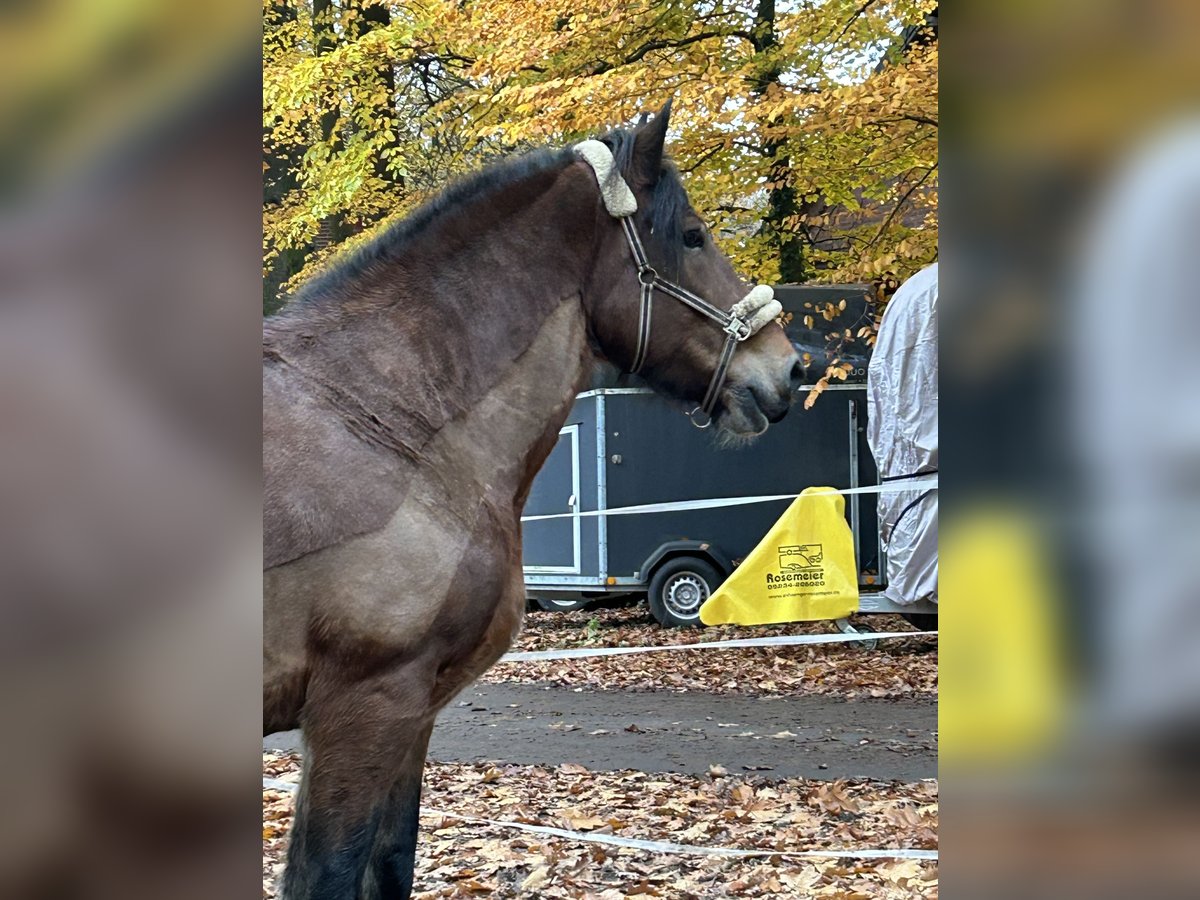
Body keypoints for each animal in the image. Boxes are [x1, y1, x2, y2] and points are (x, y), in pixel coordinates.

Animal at [266, 102, 801, 897]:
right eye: (692, 235)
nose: (790, 369)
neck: (383, 417)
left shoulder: (413, 714)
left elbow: (391, 864)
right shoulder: (361, 709)